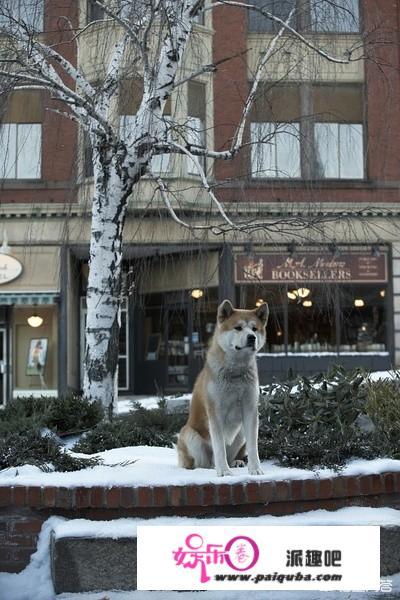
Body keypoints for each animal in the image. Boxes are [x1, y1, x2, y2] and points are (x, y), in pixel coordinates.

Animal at [177, 300, 266, 478]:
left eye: (254, 329)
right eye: (238, 328)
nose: (251, 338)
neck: (236, 373)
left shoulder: (250, 409)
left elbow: (253, 447)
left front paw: (255, 469)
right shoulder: (215, 412)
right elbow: (219, 447)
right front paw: (224, 471)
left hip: (240, 434)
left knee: (232, 454)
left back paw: (236, 462)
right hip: (190, 435)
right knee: (203, 462)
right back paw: (210, 468)